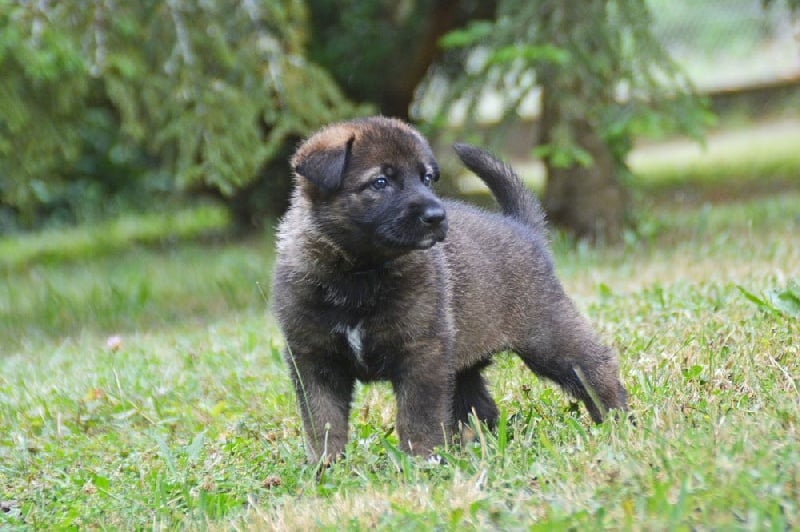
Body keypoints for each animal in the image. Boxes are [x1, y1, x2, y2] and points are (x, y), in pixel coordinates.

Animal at [272, 116, 628, 462]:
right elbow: (322, 420)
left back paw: (617, 419)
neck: (360, 274)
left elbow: (418, 416)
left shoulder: (422, 352)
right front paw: (325, 466)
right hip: (464, 363)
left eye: (427, 178)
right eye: (380, 182)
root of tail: (522, 228)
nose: (436, 215)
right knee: (481, 407)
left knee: (595, 367)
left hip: (547, 336)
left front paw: (420, 461)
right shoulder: (313, 359)